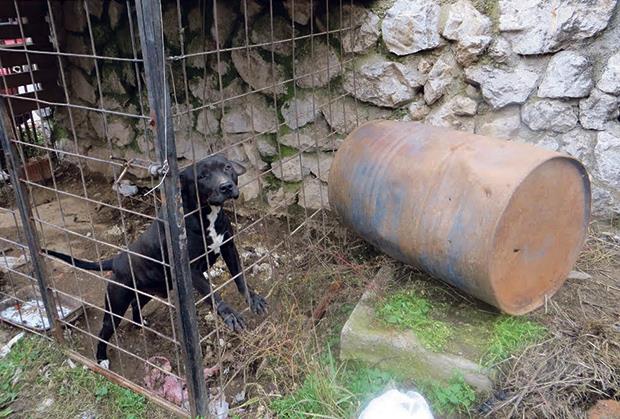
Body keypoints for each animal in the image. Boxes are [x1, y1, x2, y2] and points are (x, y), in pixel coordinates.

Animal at [44, 155, 267, 369]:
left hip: (147, 290)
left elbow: (240, 277)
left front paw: (253, 299)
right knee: (104, 331)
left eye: (227, 168)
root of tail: (116, 261)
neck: (206, 215)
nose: (226, 186)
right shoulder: (191, 270)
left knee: (136, 304)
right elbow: (212, 293)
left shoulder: (229, 248)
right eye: (202, 176)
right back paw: (101, 358)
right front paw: (230, 314)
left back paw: (139, 322)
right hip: (116, 304)